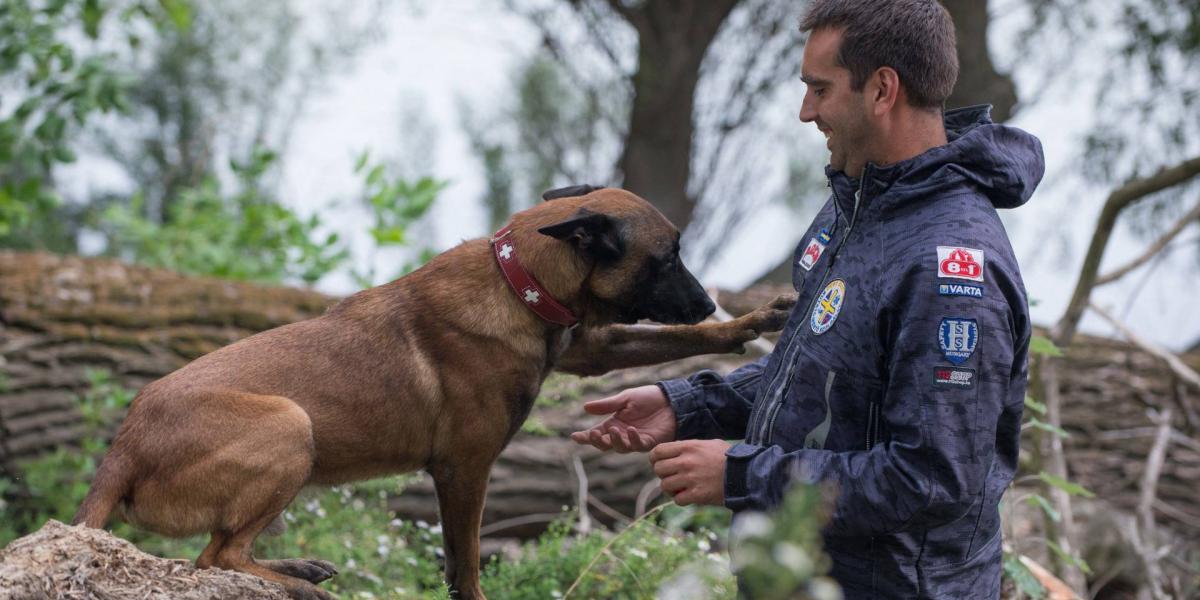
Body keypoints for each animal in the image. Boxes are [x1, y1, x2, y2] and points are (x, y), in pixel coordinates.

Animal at [70, 186, 792, 595]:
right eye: (666, 258)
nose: (707, 301)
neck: (518, 281)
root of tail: (121, 451)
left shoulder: (587, 346)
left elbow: (676, 341)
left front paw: (752, 324)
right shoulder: (464, 471)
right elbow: (465, 567)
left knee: (220, 555)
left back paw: (296, 570)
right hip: (290, 424)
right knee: (213, 556)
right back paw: (298, 583)